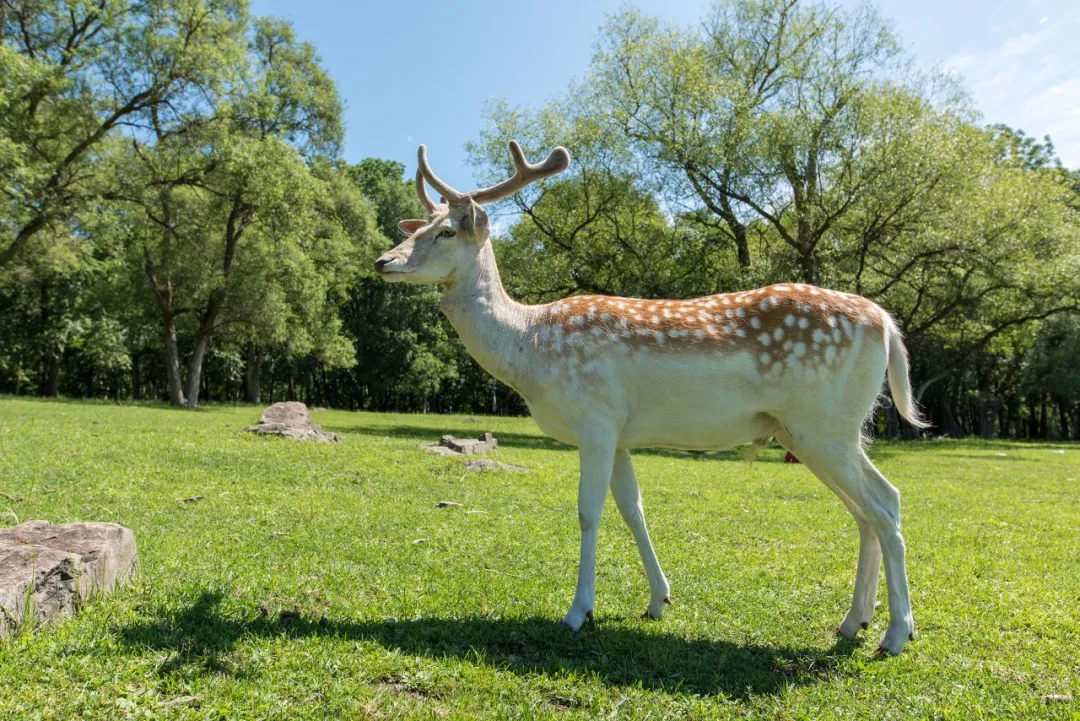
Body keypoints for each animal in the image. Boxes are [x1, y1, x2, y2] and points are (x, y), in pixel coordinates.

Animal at [373, 139, 928, 651]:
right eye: (415, 229)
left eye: (446, 231)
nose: (382, 261)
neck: (530, 350)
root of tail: (885, 323)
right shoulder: (620, 433)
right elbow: (632, 508)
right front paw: (659, 599)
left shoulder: (595, 417)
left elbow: (588, 511)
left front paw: (578, 612)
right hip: (813, 431)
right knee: (865, 512)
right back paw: (853, 623)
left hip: (825, 423)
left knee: (886, 502)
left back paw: (896, 633)